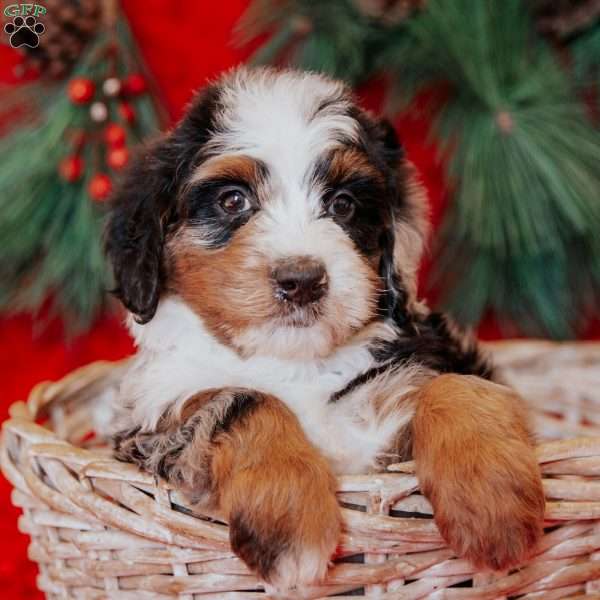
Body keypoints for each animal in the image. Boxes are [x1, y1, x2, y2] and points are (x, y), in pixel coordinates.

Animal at [105, 67, 548, 596]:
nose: (302, 280)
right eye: (233, 201)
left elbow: (452, 385)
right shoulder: (152, 423)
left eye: (342, 205)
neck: (294, 361)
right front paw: (289, 525)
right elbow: (241, 399)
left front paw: (492, 508)